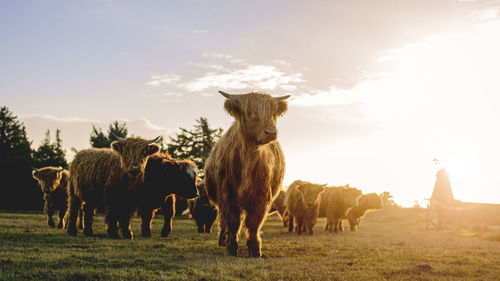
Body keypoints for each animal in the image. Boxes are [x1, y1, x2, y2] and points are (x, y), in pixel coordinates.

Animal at [204, 91, 290, 258]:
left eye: (273, 113)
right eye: (250, 112)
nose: (271, 132)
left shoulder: (262, 196)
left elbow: (254, 223)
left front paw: (255, 249)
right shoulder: (227, 195)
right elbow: (232, 222)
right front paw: (231, 247)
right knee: (223, 220)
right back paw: (222, 240)